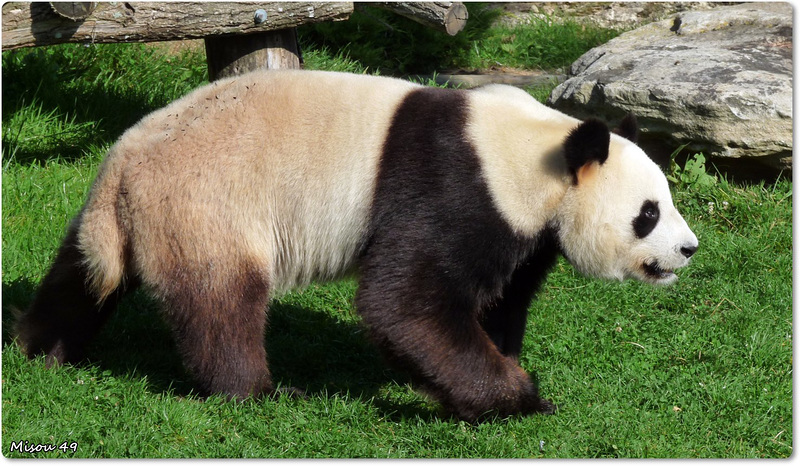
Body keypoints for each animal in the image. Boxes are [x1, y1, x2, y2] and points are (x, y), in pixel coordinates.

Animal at [15, 69, 696, 422]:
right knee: (222, 303)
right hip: (209, 206)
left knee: (81, 280)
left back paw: (40, 348)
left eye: (665, 200)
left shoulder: (523, 228)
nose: (687, 251)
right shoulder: (458, 186)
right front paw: (520, 397)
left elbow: (499, 297)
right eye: (648, 213)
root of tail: (122, 173)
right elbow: (405, 301)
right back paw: (257, 390)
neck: (538, 152)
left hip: (115, 219)